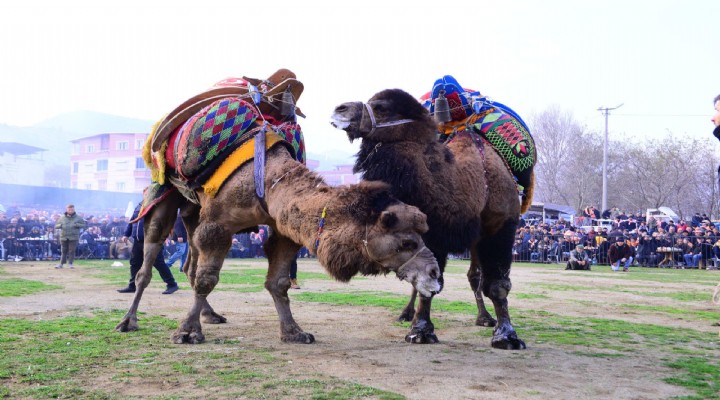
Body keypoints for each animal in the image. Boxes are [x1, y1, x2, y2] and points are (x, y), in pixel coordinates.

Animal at [115, 83, 442, 344]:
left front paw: (294, 331)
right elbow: (208, 278)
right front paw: (186, 332)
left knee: (190, 262)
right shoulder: (218, 224)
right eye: (406, 242)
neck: (269, 180)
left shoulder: (283, 228)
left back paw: (210, 314)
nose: (434, 274)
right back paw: (128, 321)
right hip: (163, 188)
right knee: (150, 259)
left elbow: (279, 282)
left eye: (422, 234)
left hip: (194, 208)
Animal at [332, 88, 528, 350]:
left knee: (475, 276)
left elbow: (497, 286)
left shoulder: (501, 229)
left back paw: (485, 318)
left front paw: (507, 336)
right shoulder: (432, 234)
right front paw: (420, 331)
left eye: (382, 107)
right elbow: (427, 283)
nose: (340, 109)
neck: (473, 182)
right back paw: (406, 314)